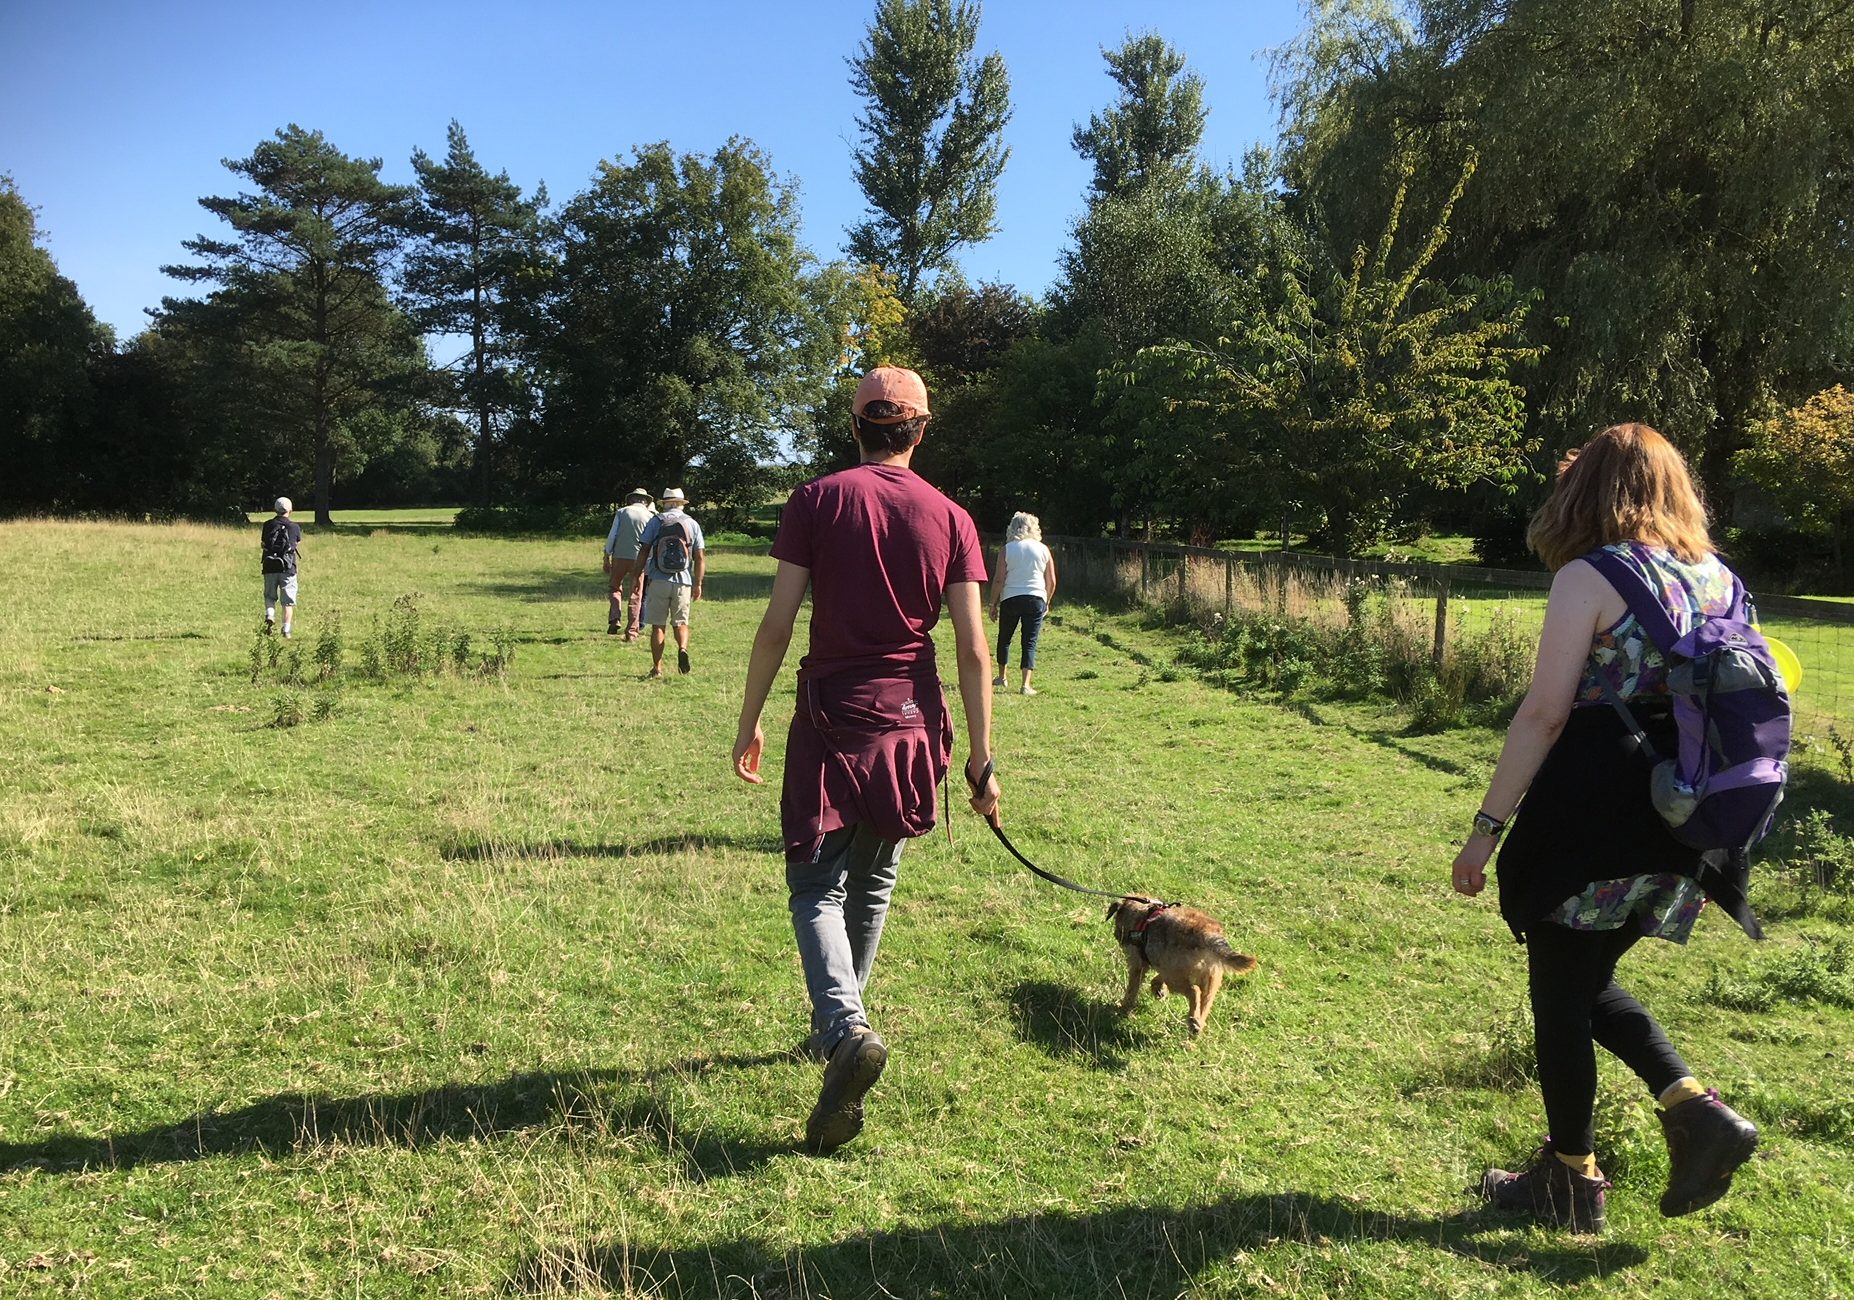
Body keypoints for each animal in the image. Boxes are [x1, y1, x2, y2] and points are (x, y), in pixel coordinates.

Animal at [1097, 893, 1260, 1031]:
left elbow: (1133, 988)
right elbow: (1157, 978)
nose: (1116, 935)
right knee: (1204, 1004)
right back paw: (1196, 1024)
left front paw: (1124, 1008)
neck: (1142, 916)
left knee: (1194, 991)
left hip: (1178, 978)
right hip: (1210, 979)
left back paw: (1193, 1021)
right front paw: (1158, 989)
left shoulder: (1139, 964)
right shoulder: (1167, 965)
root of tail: (1207, 934)